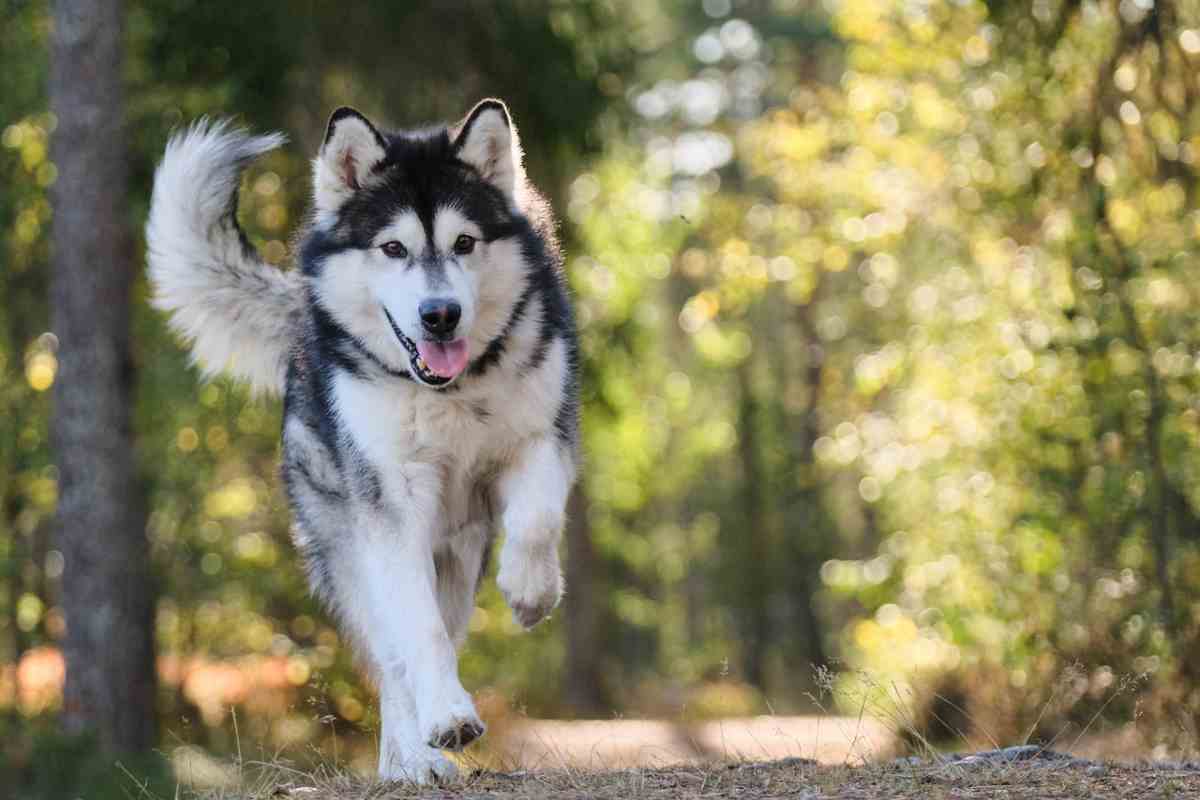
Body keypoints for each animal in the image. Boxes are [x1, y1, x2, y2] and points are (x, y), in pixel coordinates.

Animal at [147, 98, 578, 782]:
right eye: (393, 247)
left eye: (464, 243)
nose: (440, 315)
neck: (448, 393)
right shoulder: (392, 507)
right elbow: (418, 634)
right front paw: (445, 720)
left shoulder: (543, 436)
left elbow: (536, 521)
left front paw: (532, 593)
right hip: (356, 548)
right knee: (397, 657)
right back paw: (414, 759)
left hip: (457, 556)